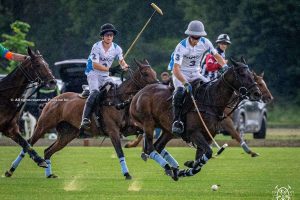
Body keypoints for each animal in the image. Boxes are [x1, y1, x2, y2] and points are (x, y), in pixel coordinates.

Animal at [6, 58, 157, 179]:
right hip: (43, 126)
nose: (157, 84)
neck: (119, 100)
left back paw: (49, 174)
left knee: (47, 151)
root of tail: (51, 101)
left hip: (67, 134)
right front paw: (127, 173)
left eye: (154, 72)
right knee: (27, 144)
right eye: (145, 73)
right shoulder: (113, 131)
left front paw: (141, 150)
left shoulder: (128, 129)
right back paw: (10, 170)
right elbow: (120, 152)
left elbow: (142, 133)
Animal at [130, 57, 262, 180]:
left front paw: (187, 168)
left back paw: (174, 170)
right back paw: (168, 167)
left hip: (168, 130)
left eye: (251, 75)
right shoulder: (194, 133)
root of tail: (138, 94)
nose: (257, 93)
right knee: (150, 148)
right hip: (148, 123)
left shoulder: (208, 136)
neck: (210, 101)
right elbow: (208, 153)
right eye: (242, 74)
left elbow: (200, 160)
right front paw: (188, 167)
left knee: (158, 146)